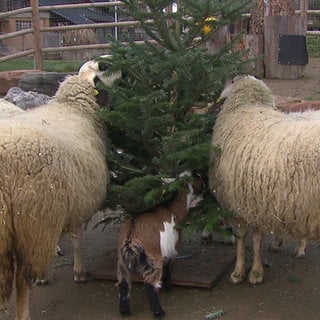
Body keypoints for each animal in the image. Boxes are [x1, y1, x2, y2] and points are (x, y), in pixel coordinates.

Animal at [0, 60, 114, 320]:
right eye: (102, 70)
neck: (73, 107)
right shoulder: (73, 199)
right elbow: (76, 237)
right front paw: (79, 272)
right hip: (30, 220)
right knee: (22, 279)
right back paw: (24, 312)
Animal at [117, 171, 202, 316]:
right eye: (200, 178)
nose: (206, 189)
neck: (172, 209)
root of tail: (130, 239)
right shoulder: (172, 248)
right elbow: (169, 266)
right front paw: (167, 287)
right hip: (152, 258)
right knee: (150, 284)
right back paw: (159, 312)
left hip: (122, 262)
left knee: (123, 284)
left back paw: (124, 311)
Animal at [209, 75, 320, 284]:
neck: (248, 106)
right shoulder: (256, 202)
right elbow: (254, 238)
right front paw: (248, 270)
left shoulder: (239, 203)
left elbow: (247, 238)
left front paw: (246, 272)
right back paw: (294, 246)